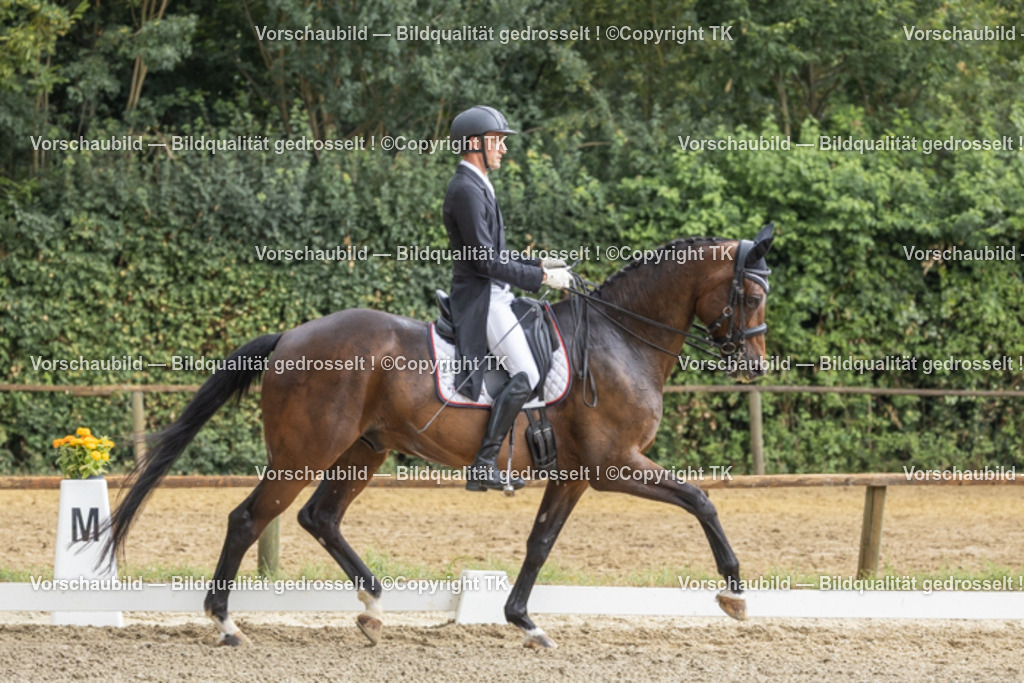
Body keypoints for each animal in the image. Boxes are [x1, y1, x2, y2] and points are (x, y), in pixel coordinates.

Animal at [105, 224, 775, 649]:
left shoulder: (575, 475)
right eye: (748, 293)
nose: (756, 367)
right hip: (304, 453)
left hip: (365, 451)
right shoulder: (614, 464)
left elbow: (540, 542)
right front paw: (736, 595)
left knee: (319, 517)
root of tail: (291, 337)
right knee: (249, 519)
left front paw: (524, 622)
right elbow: (701, 500)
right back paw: (225, 624)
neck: (619, 339)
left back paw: (375, 609)